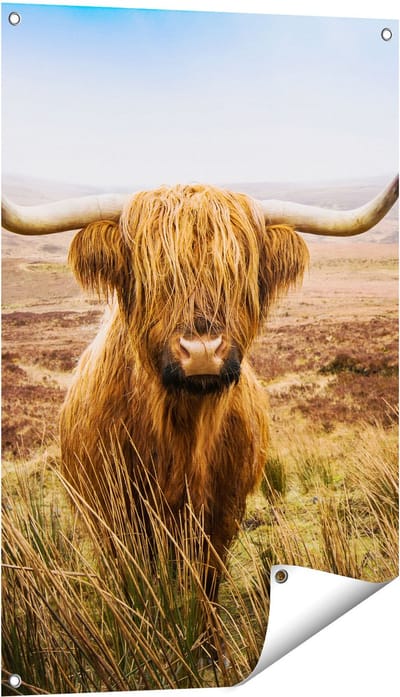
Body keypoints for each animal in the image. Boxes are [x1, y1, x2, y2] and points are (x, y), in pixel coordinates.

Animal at [2, 176, 398, 657]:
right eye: (153, 274)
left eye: (238, 270)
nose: (203, 351)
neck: (181, 434)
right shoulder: (116, 515)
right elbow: (137, 583)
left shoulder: (224, 511)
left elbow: (207, 578)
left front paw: (210, 645)